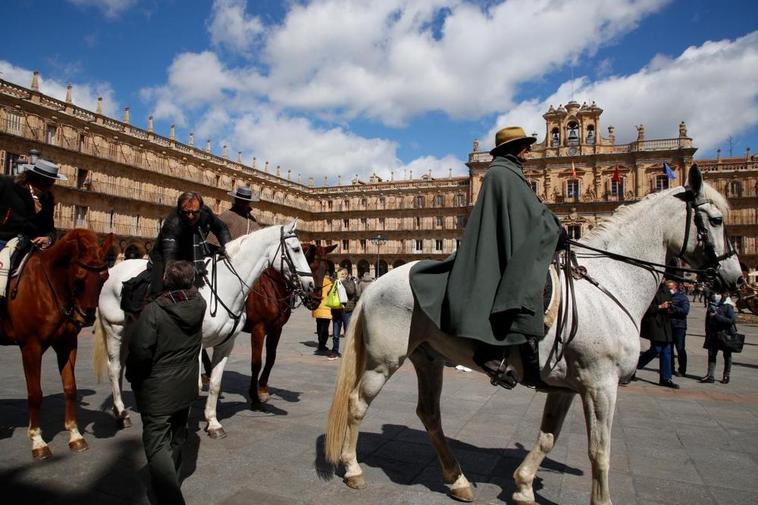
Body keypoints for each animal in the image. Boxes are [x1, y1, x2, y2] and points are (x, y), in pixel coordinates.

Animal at [0, 230, 112, 458]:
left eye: (105, 277)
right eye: (79, 276)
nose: (86, 317)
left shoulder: (66, 342)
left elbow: (70, 387)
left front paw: (75, 435)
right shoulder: (30, 345)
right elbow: (35, 393)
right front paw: (37, 440)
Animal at [95, 220, 314, 438]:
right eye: (296, 249)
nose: (311, 286)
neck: (225, 287)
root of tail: (113, 271)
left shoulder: (228, 343)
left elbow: (216, 383)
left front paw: (213, 423)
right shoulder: (203, 342)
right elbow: (195, 384)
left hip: (133, 330)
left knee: (126, 365)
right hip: (114, 327)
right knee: (114, 368)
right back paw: (121, 414)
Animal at [248, 241, 336, 406]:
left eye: (326, 270)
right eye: (310, 266)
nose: (315, 300)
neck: (271, 288)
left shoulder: (277, 329)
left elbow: (271, 358)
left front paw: (262, 390)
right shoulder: (258, 328)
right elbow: (256, 362)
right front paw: (254, 397)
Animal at [326, 168, 744, 504]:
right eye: (716, 220)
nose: (735, 279)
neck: (611, 284)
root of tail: (375, 284)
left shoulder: (566, 386)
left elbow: (548, 437)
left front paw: (524, 485)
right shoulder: (601, 383)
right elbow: (600, 451)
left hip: (428, 357)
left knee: (429, 413)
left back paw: (458, 480)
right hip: (384, 359)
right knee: (357, 403)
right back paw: (353, 470)